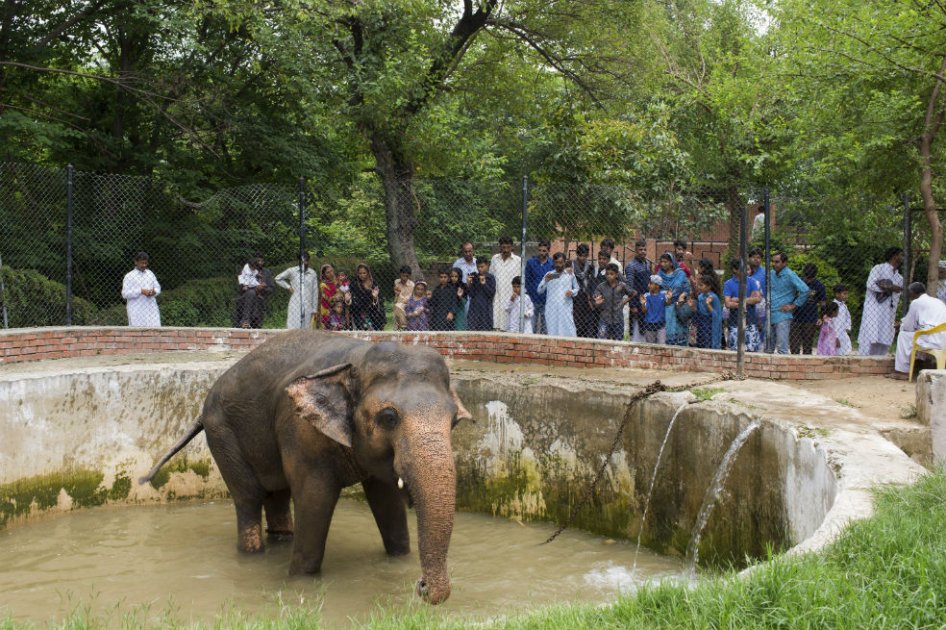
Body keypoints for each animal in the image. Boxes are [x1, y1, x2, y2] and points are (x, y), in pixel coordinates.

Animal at [140, 330, 471, 605]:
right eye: (388, 418)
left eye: (454, 421)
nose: (422, 586)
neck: (357, 358)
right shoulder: (300, 430)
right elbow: (315, 499)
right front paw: (300, 580)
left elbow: (386, 501)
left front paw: (399, 560)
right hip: (222, 432)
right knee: (248, 498)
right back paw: (253, 553)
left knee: (277, 494)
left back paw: (281, 540)